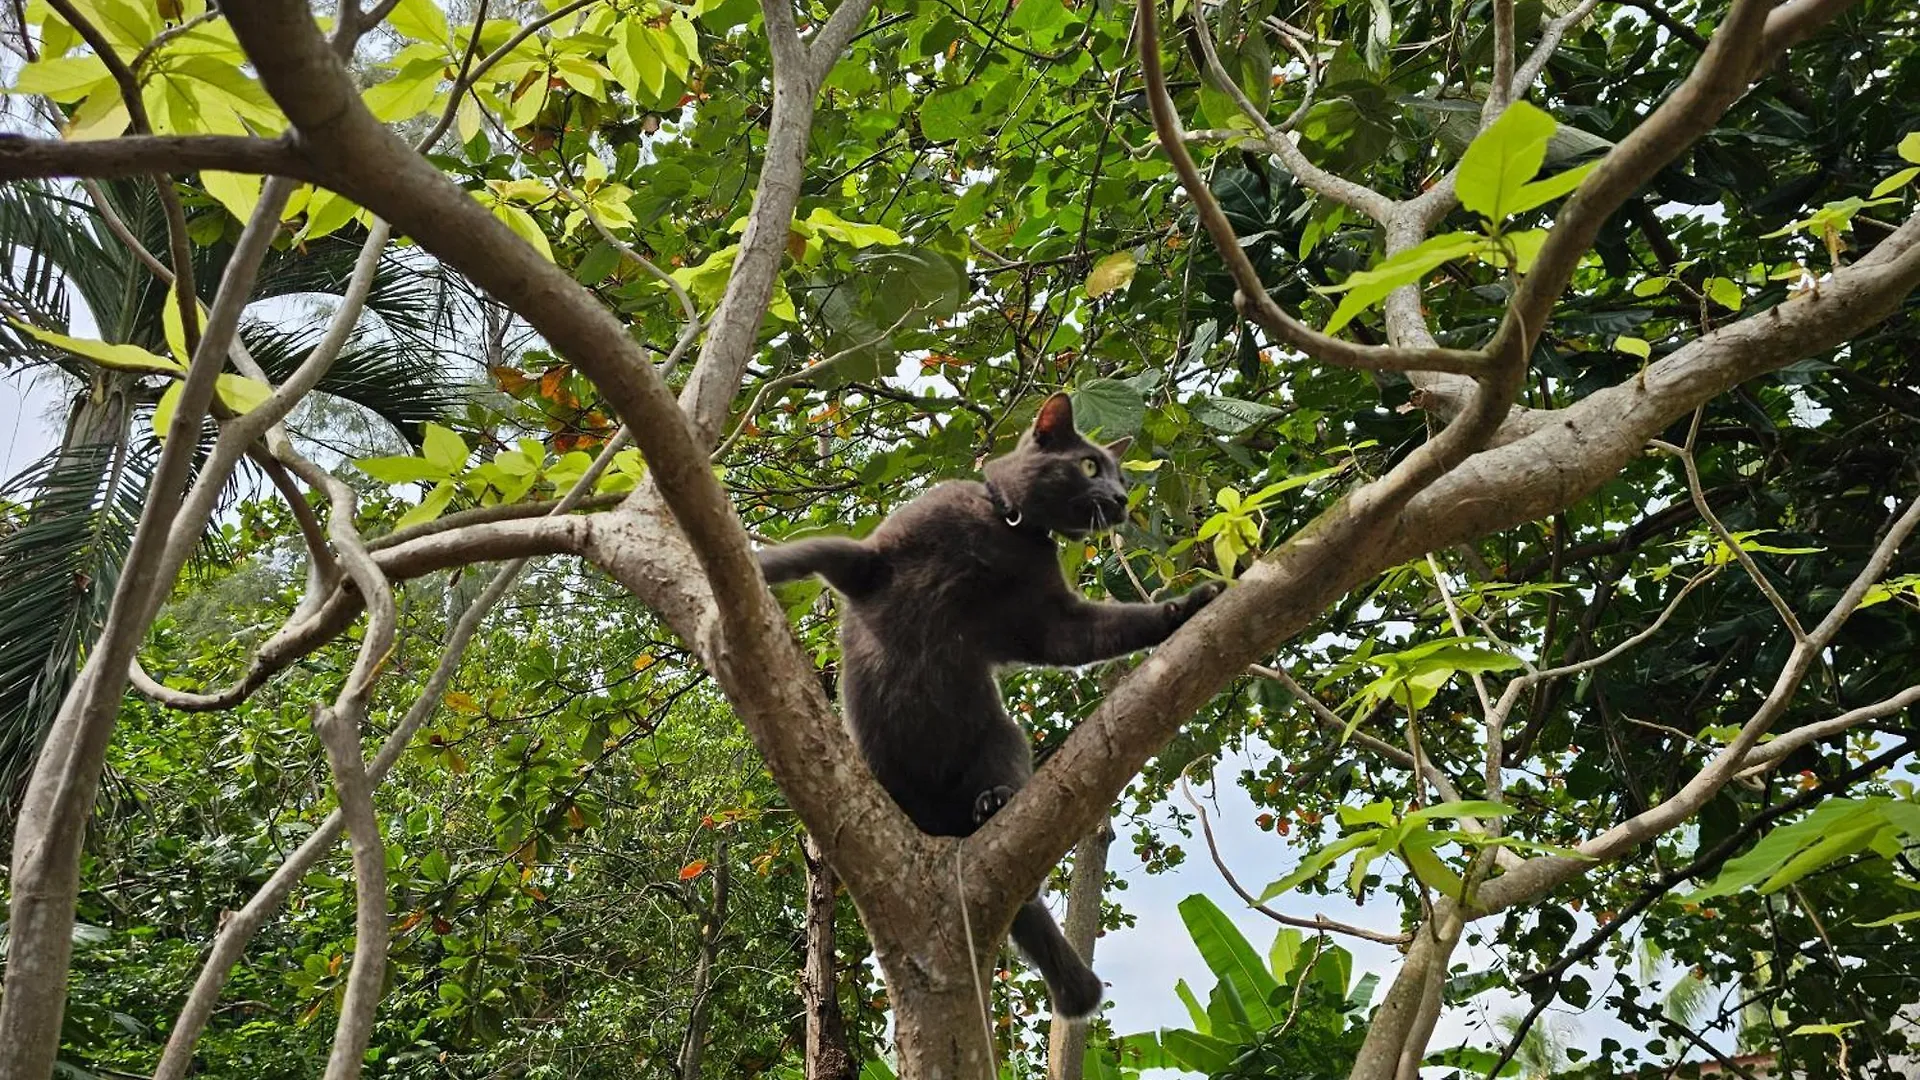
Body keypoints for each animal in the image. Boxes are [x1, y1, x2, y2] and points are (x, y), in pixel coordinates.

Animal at [756, 390, 1221, 1014]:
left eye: (1121, 475)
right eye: (1091, 466)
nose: (1123, 498)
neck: (1004, 528)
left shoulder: (1050, 621)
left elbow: (1097, 632)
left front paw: (1186, 608)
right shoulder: (871, 558)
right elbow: (800, 555)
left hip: (1000, 736)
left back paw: (995, 805)